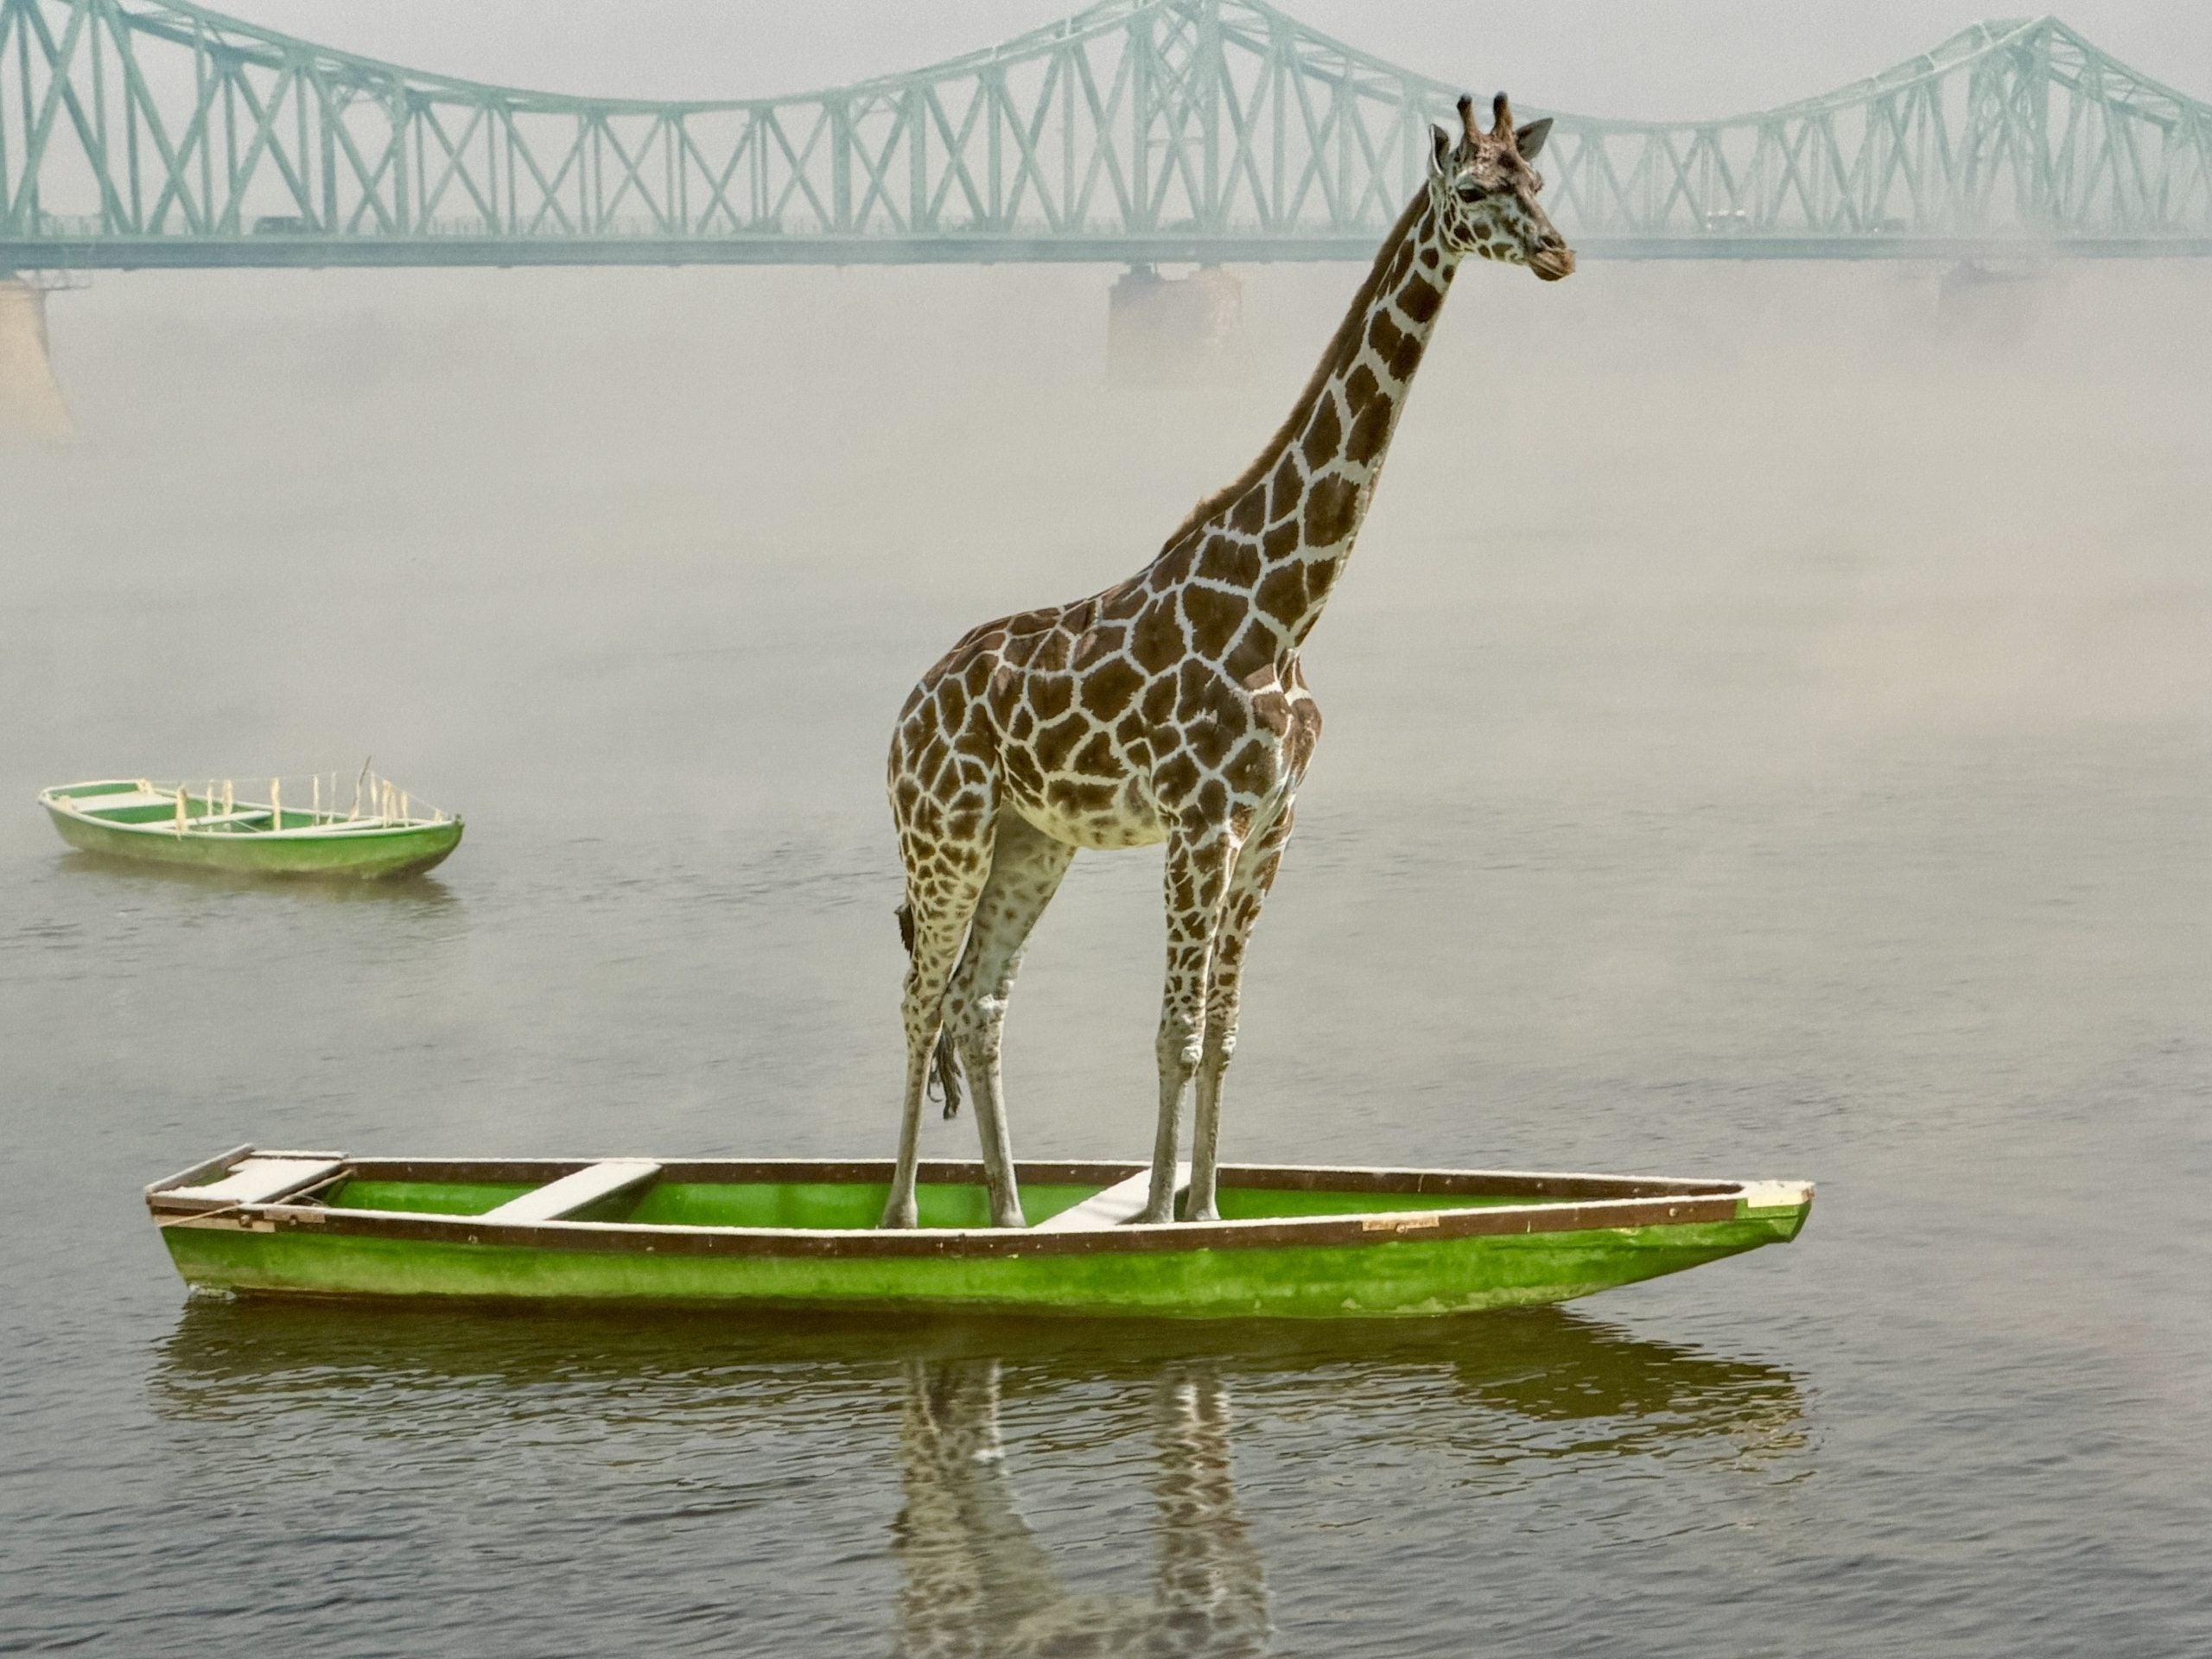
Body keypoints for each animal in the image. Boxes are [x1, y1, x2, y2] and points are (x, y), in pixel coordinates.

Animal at [883, 92, 1575, 1231]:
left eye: (1539, 183)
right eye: (1474, 190)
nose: (1559, 253)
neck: (1284, 612)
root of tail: (903, 714)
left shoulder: (1271, 829)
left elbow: (1223, 1031)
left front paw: (1204, 1209)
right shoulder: (1200, 825)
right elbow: (1173, 1030)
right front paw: (1159, 1221)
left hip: (1032, 844)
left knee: (979, 1003)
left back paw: (1009, 1216)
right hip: (943, 837)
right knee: (918, 998)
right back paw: (901, 1219)